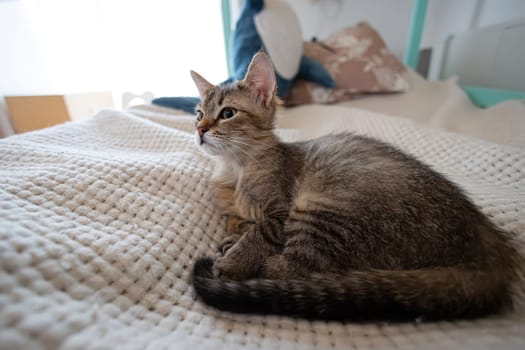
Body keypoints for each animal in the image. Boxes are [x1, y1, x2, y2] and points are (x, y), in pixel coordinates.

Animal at [187, 52, 516, 320]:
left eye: (228, 113)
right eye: (199, 114)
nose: (200, 130)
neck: (236, 170)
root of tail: (489, 246)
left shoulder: (281, 211)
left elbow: (262, 231)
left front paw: (235, 260)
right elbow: (239, 222)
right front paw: (236, 235)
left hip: (322, 205)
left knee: (290, 270)